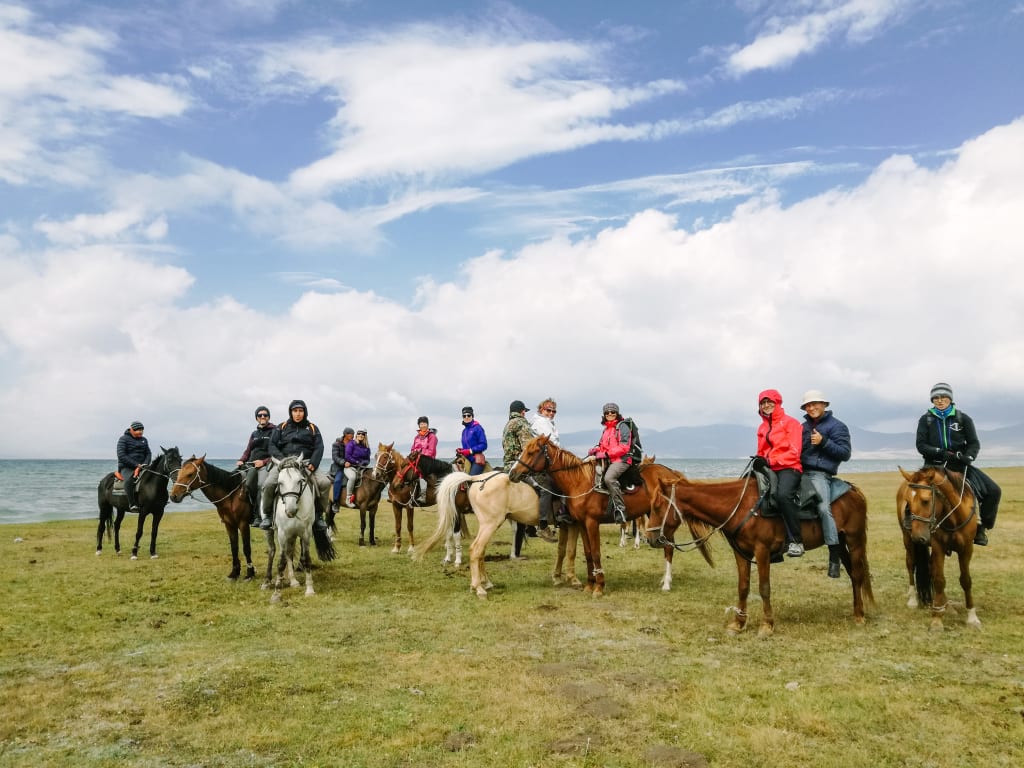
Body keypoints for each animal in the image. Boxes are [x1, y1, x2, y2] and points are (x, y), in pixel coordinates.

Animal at [267, 456, 336, 602]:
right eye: (280, 483)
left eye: (300, 481)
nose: (291, 511)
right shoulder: (282, 534)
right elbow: (281, 562)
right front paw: (276, 593)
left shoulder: (305, 534)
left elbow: (306, 559)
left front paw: (309, 589)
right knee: (287, 554)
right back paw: (290, 581)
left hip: (293, 535)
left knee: (290, 553)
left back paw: (293, 581)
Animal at [508, 435, 707, 596]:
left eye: (532, 452)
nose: (512, 473)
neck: (579, 481)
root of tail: (671, 473)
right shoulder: (581, 523)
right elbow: (588, 553)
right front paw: (590, 585)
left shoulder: (592, 523)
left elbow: (596, 552)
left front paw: (599, 587)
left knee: (668, 548)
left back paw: (666, 584)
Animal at [645, 469, 874, 637]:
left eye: (657, 506)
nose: (651, 538)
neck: (740, 506)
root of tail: (855, 491)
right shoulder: (741, 552)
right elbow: (743, 587)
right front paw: (738, 623)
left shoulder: (762, 550)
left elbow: (764, 588)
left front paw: (767, 625)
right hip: (840, 542)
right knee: (853, 574)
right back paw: (856, 611)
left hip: (854, 540)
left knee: (858, 574)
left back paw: (860, 616)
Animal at [897, 466, 980, 631]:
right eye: (908, 502)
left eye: (925, 500)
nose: (918, 537)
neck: (952, 517)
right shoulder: (938, 547)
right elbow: (940, 579)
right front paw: (936, 619)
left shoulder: (967, 549)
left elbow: (965, 580)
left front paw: (972, 617)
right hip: (908, 541)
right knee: (911, 564)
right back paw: (914, 599)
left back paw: (945, 605)